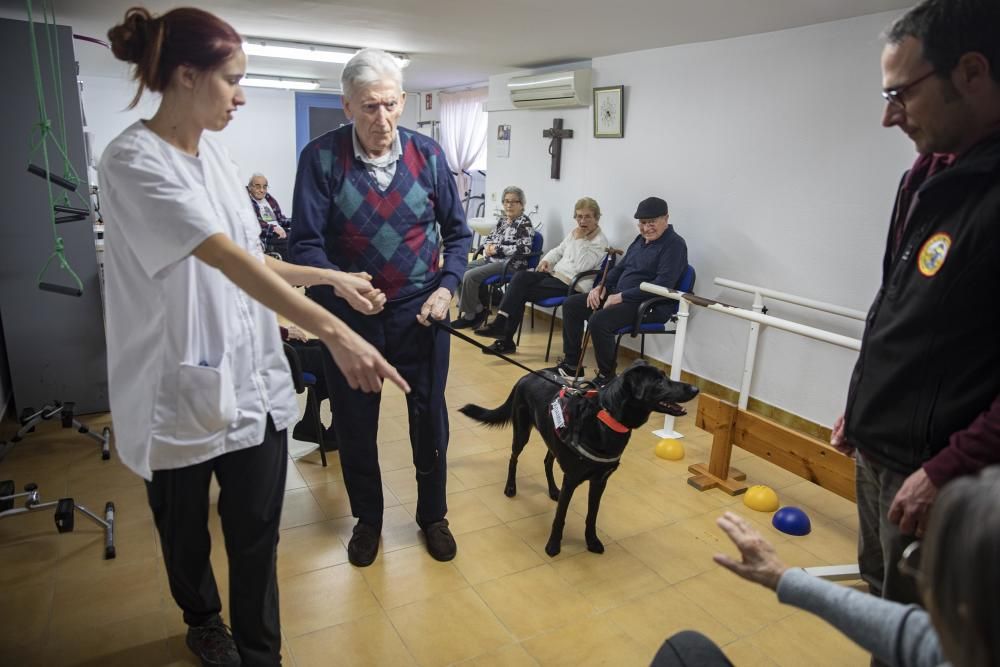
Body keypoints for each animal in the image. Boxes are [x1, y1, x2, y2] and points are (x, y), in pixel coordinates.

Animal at [458, 360, 696, 560]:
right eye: (659, 381)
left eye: (666, 376)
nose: (695, 389)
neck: (606, 417)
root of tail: (526, 376)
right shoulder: (572, 479)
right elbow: (560, 516)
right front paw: (553, 546)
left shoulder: (600, 481)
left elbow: (592, 515)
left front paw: (591, 542)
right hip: (522, 432)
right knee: (513, 458)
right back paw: (511, 487)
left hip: (551, 437)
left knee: (547, 461)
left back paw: (553, 490)